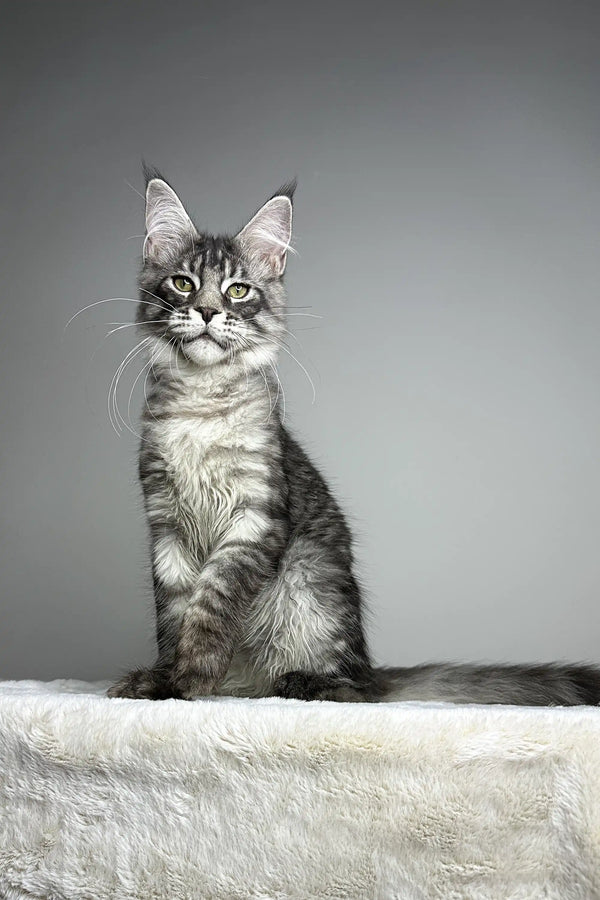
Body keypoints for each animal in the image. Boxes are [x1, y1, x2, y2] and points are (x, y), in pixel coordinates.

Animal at [109, 171, 600, 704]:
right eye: (183, 283)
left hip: (307, 578)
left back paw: (301, 681)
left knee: (351, 689)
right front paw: (163, 681)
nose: (205, 312)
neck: (200, 405)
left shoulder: (254, 519)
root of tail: (371, 668)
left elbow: (210, 606)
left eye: (238, 291)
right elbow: (176, 613)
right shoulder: (165, 522)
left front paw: (192, 680)